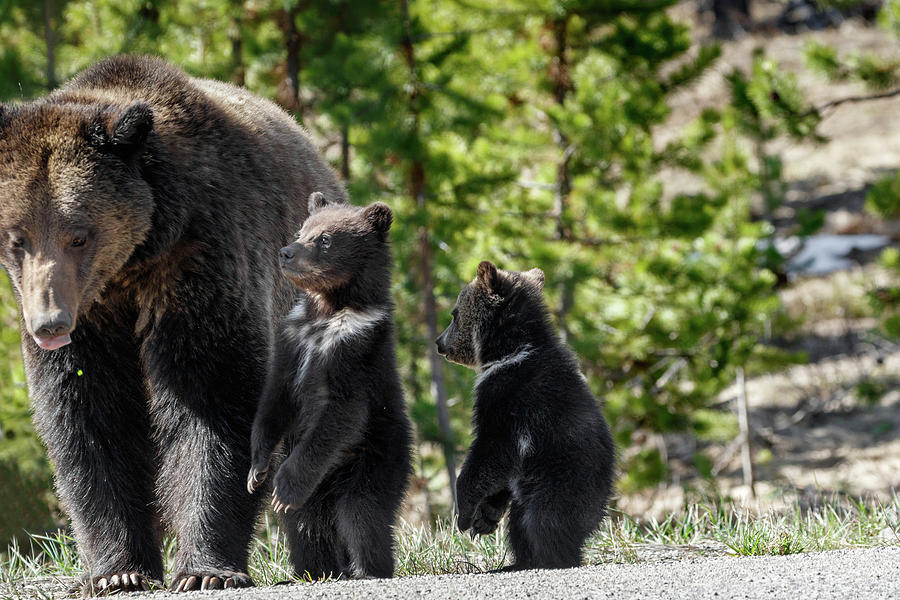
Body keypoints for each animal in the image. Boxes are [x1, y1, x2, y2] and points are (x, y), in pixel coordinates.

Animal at [0, 57, 344, 596]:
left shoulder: (201, 263)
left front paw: (205, 570)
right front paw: (117, 570)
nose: (49, 324)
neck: (132, 264)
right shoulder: (93, 319)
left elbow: (213, 398)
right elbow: (89, 417)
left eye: (79, 235)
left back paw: (322, 559)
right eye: (18, 237)